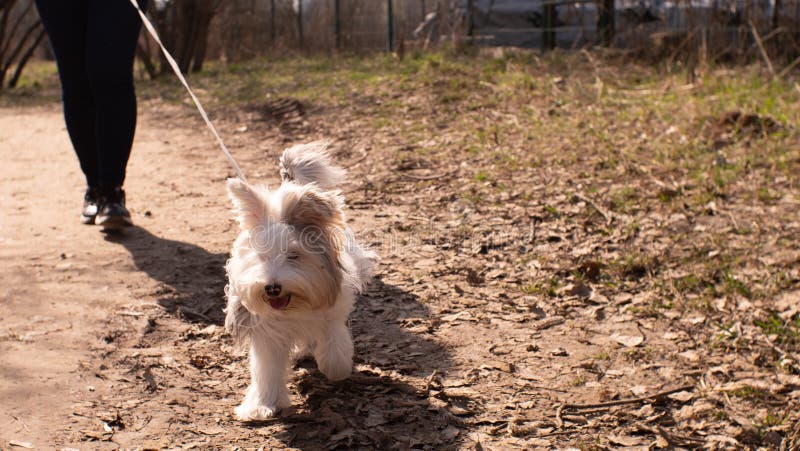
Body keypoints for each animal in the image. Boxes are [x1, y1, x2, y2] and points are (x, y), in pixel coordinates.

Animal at [223, 143, 376, 422]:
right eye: (261, 256)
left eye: (293, 255)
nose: (272, 288)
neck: (294, 306)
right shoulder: (266, 332)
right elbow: (267, 369)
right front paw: (262, 406)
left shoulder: (332, 311)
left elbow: (334, 341)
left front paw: (335, 368)